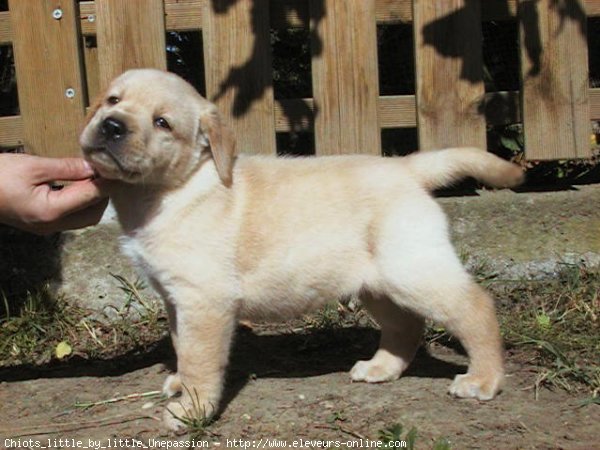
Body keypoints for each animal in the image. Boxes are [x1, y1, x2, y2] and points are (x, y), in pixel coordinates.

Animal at [81, 68, 524, 430]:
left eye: (162, 122)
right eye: (113, 100)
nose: (112, 125)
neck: (174, 187)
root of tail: (406, 167)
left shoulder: (204, 299)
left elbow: (200, 359)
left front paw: (192, 410)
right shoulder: (177, 299)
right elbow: (181, 346)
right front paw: (179, 382)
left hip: (412, 269)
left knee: (476, 307)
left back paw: (483, 379)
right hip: (376, 282)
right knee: (406, 324)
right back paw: (382, 367)